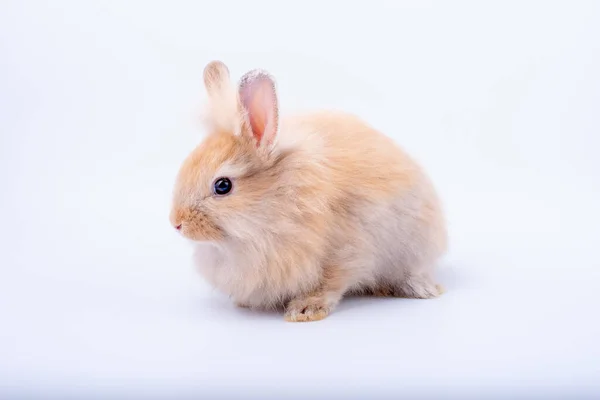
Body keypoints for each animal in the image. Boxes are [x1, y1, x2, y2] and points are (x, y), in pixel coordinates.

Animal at [169, 60, 446, 322]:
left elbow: (330, 283)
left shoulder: (347, 253)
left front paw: (305, 310)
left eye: (223, 186)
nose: (176, 223)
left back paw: (423, 290)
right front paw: (245, 302)